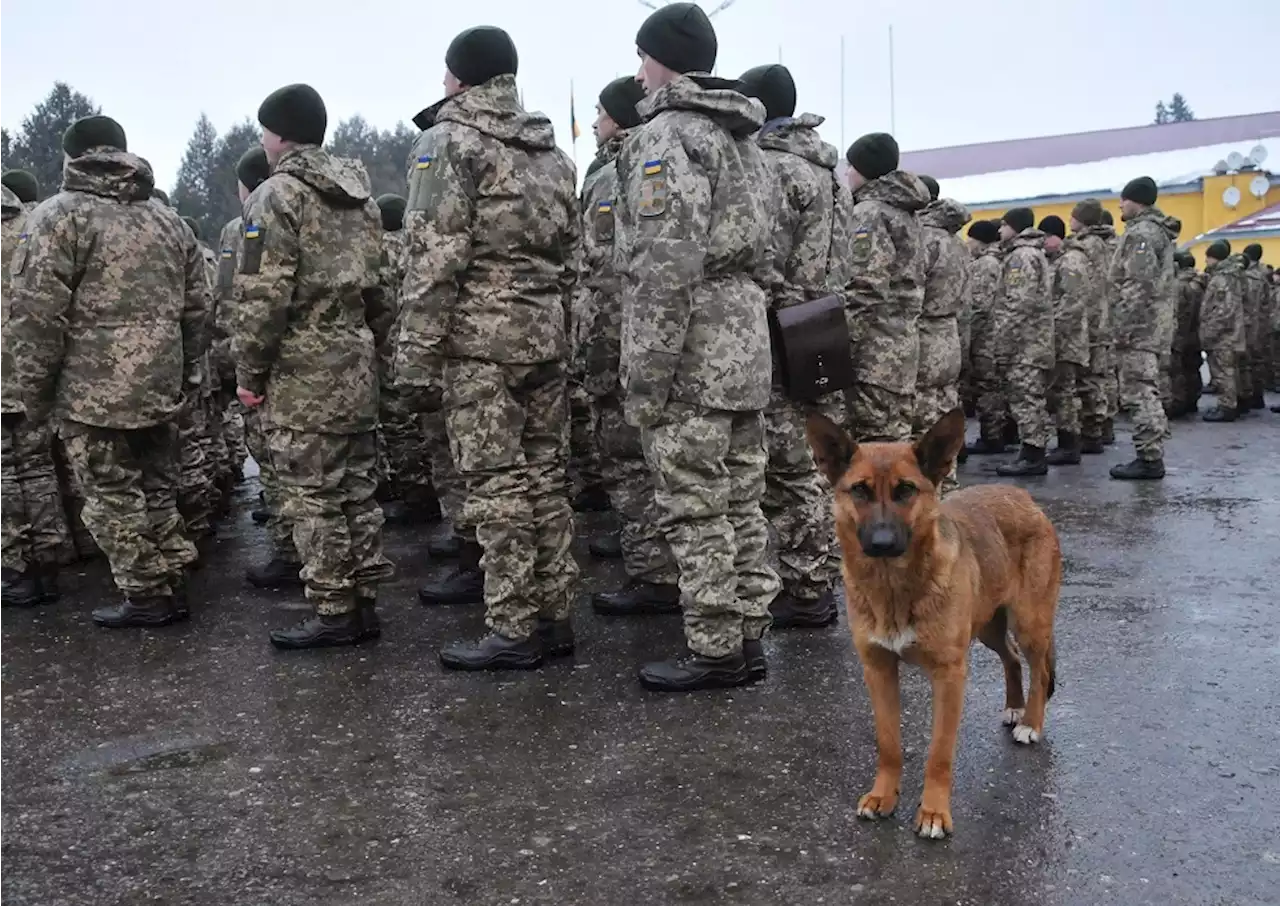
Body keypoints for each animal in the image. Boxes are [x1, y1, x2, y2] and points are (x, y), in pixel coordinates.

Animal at [808, 406, 1059, 839]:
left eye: (906, 490)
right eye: (859, 491)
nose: (882, 543)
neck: (895, 588)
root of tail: (1023, 497)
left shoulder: (949, 675)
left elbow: (939, 753)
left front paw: (933, 813)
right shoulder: (878, 670)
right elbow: (889, 744)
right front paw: (883, 796)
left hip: (1030, 623)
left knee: (1039, 671)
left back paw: (1030, 722)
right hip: (989, 625)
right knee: (1010, 658)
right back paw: (1014, 707)